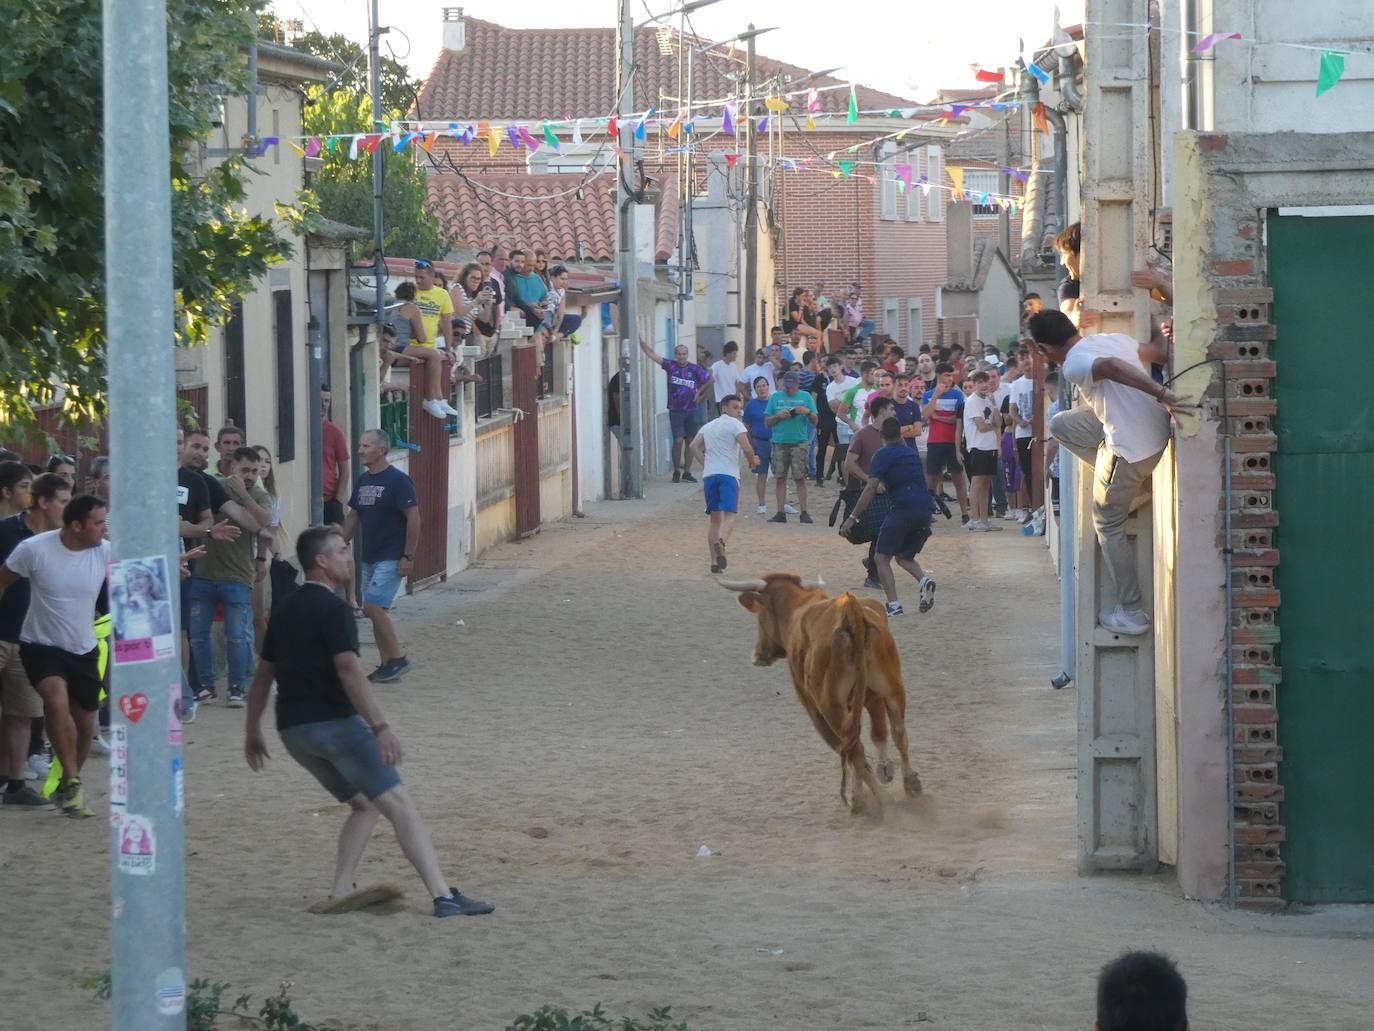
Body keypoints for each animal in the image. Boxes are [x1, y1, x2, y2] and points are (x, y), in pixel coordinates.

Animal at [719, 574, 923, 813]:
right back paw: (910, 784)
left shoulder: (814, 708)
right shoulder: (870, 696)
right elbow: (879, 733)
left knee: (854, 749)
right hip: (891, 688)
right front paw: (885, 770)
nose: (757, 655)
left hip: (830, 707)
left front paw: (862, 793)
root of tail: (851, 613)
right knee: (898, 732)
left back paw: (871, 800)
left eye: (760, 615)